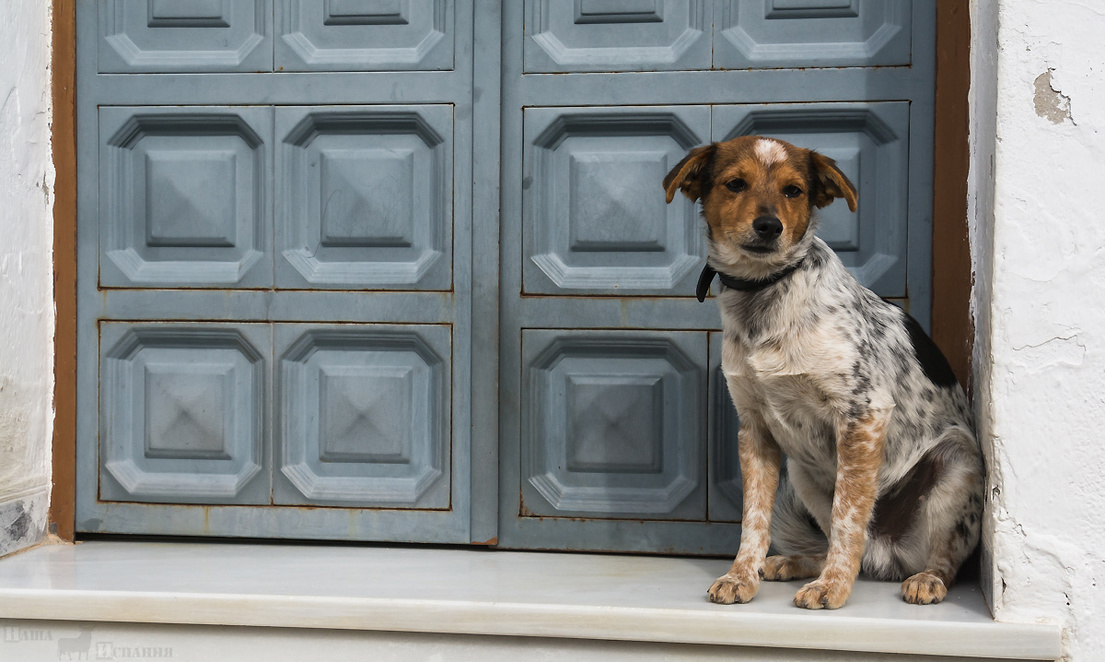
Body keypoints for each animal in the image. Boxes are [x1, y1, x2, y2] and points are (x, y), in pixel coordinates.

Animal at [663, 135, 985, 610]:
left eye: (793, 190)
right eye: (735, 184)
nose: (769, 226)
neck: (765, 292)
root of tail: (888, 554)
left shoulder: (863, 415)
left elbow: (848, 519)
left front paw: (833, 587)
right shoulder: (754, 428)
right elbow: (753, 520)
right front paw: (742, 576)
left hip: (956, 463)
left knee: (939, 556)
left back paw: (926, 579)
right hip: (802, 474)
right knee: (843, 542)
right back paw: (792, 562)